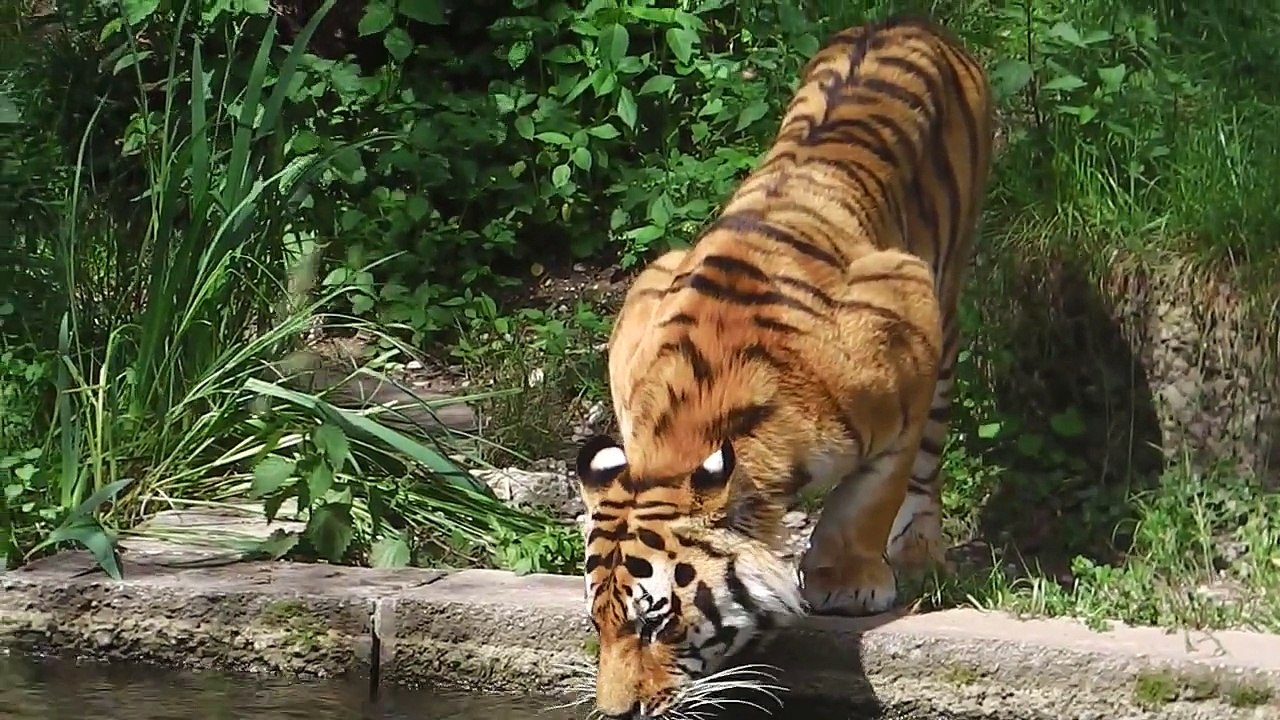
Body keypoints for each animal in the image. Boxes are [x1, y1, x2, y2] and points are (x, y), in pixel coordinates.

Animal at [572, 14, 996, 719]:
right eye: (599, 622)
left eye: (657, 621)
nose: (615, 712)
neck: (689, 423)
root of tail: (904, 19)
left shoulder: (904, 311)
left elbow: (869, 497)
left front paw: (847, 584)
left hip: (950, 290)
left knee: (930, 454)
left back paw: (918, 547)